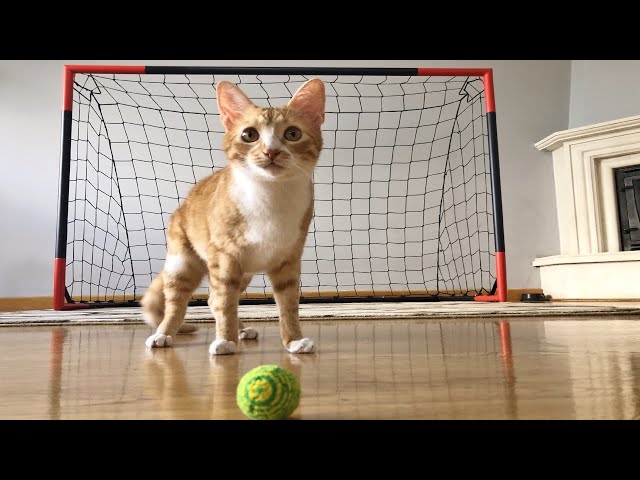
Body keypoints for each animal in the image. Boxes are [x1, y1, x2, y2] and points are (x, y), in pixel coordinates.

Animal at [141, 79, 324, 354]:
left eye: (293, 133)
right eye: (249, 135)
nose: (271, 152)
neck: (270, 197)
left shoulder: (289, 259)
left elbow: (288, 304)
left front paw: (293, 339)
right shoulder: (225, 256)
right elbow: (225, 302)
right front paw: (225, 340)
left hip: (244, 272)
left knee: (213, 298)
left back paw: (242, 330)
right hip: (182, 261)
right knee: (180, 301)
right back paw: (164, 333)